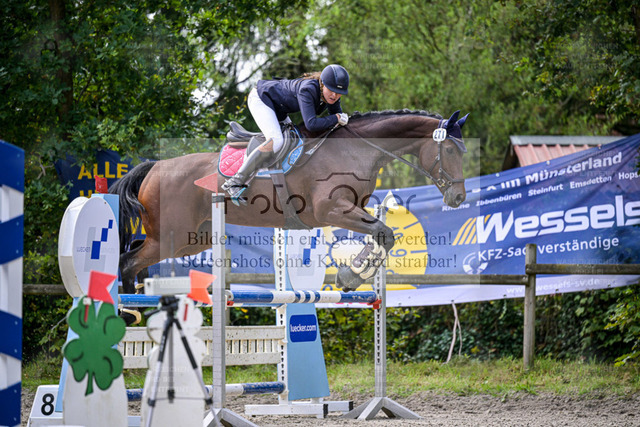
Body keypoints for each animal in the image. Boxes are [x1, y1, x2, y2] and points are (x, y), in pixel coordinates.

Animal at [110, 109, 469, 306]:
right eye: (450, 149)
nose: (458, 198)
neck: (356, 149)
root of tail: (154, 166)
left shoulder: (352, 209)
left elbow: (382, 236)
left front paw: (352, 275)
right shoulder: (332, 210)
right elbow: (384, 232)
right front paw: (350, 275)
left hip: (190, 239)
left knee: (134, 254)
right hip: (169, 238)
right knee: (127, 261)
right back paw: (130, 312)